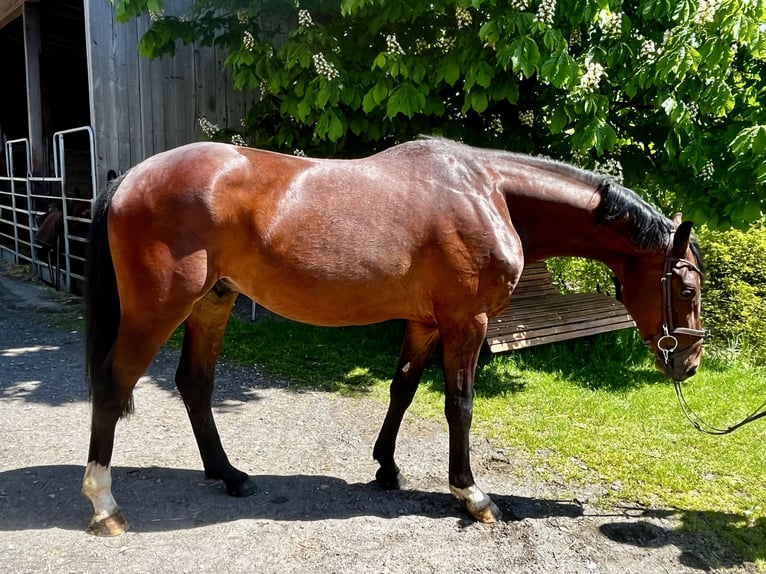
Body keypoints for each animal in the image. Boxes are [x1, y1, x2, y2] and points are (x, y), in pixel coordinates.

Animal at [81, 137, 705, 536]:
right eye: (688, 287)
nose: (690, 364)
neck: (489, 192)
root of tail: (130, 177)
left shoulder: (426, 322)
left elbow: (402, 389)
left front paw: (387, 468)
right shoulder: (467, 322)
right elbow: (460, 404)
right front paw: (472, 495)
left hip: (213, 301)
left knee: (195, 383)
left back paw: (229, 475)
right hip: (158, 309)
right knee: (113, 386)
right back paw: (106, 506)